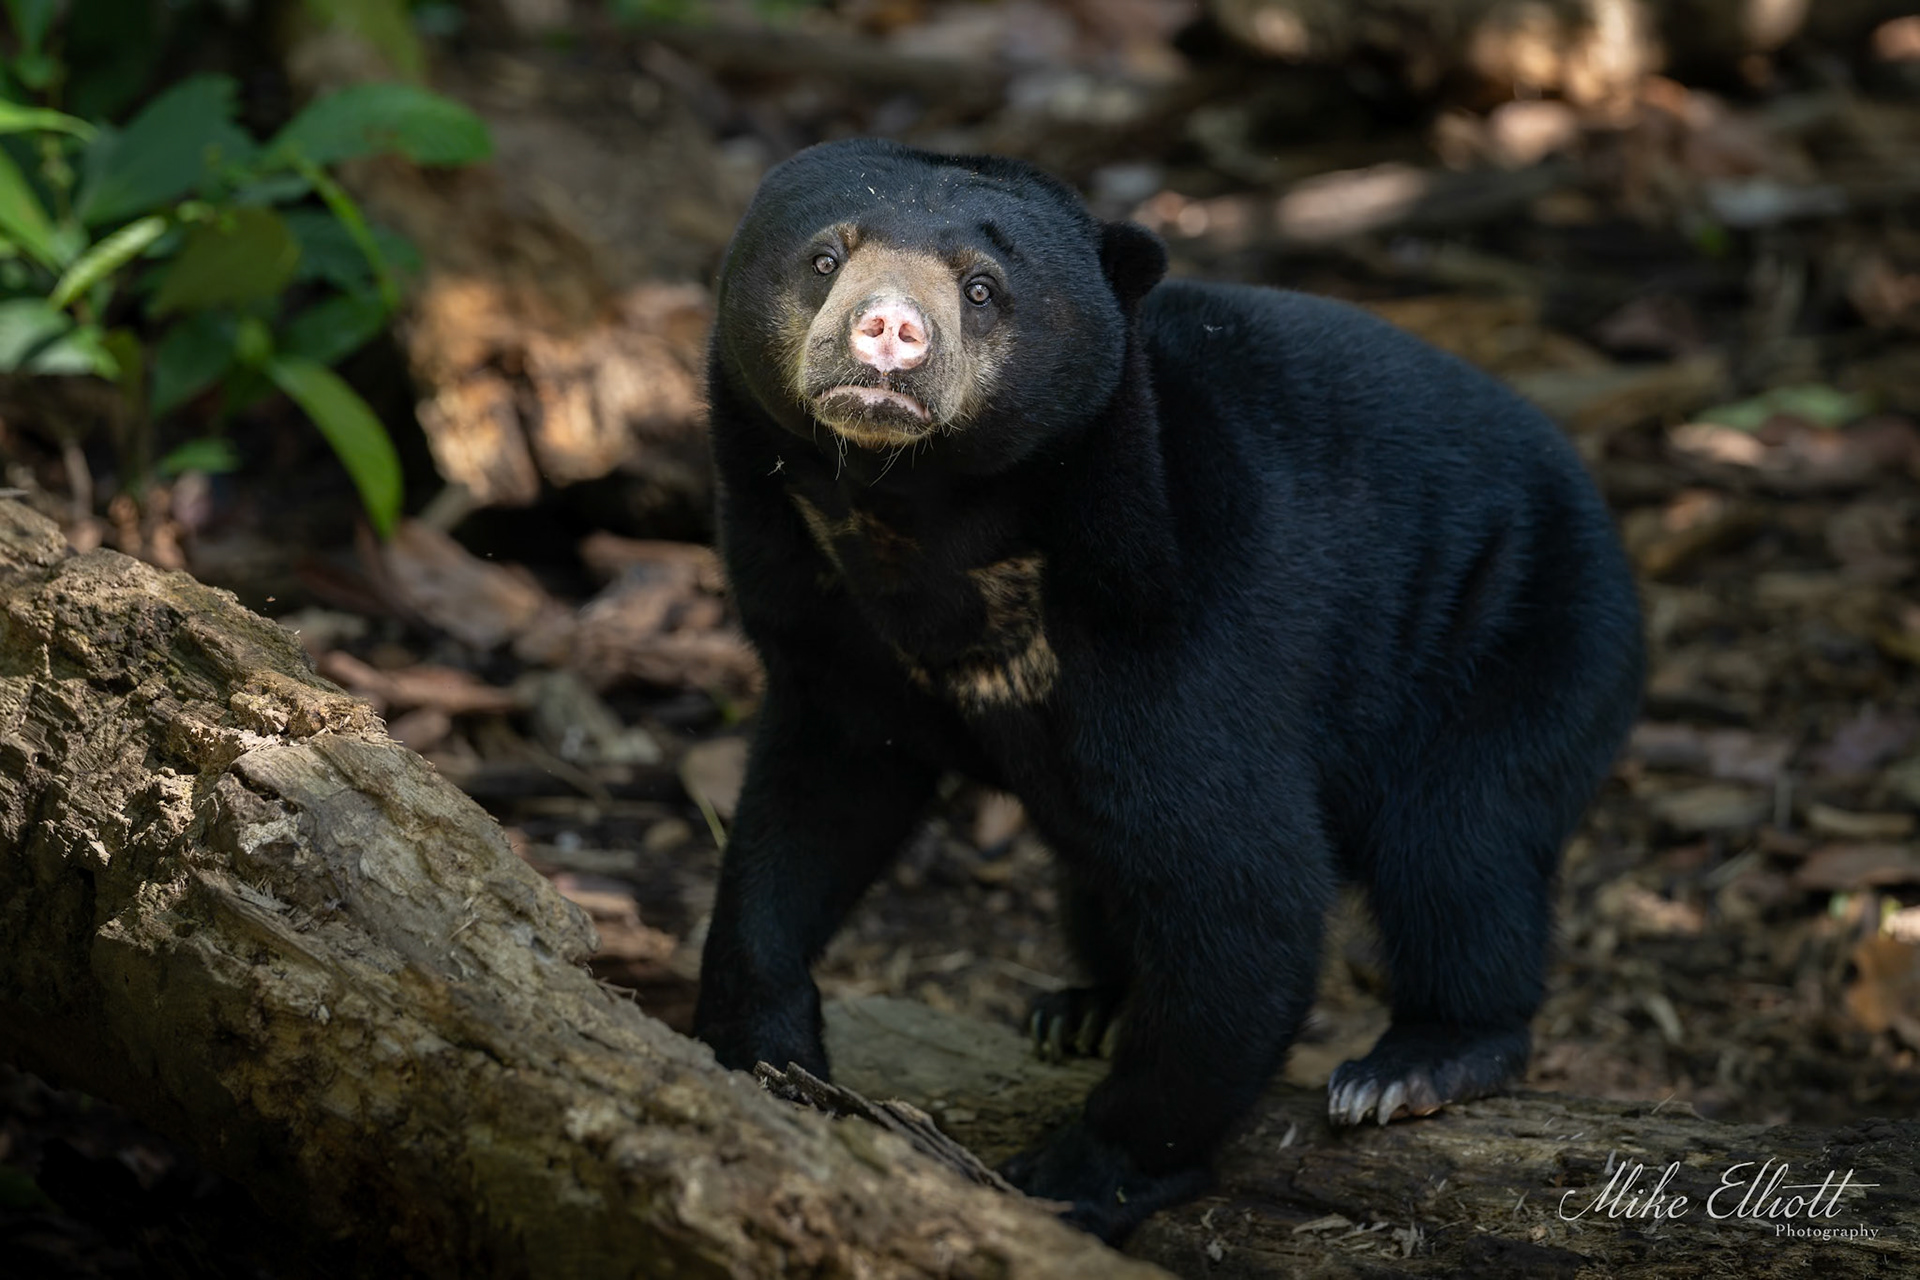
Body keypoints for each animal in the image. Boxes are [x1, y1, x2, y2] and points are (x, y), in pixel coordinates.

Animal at [691, 137, 1644, 1242]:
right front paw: (762, 1043)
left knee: (1461, 842)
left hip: (1520, 639)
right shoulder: (817, 616)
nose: (888, 331)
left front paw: (1078, 1171)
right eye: (823, 258)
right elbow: (811, 805)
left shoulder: (1174, 612)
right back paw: (1087, 1005)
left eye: (982, 287)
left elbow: (1241, 886)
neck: (922, 524)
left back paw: (1420, 1061)